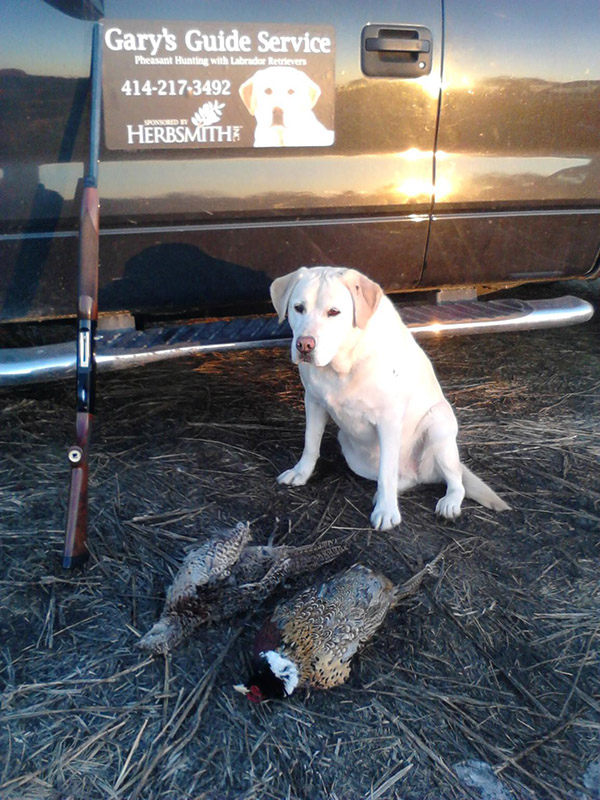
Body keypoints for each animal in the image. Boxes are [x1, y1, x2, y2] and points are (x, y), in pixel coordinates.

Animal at [270, 266, 510, 531]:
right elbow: (310, 444)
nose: (304, 345)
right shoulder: (313, 401)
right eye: (298, 308)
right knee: (406, 479)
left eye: (333, 312)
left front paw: (386, 511)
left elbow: (386, 472)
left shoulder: (388, 421)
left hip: (439, 426)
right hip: (351, 450)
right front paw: (301, 473)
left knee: (454, 479)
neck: (344, 363)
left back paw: (448, 502)